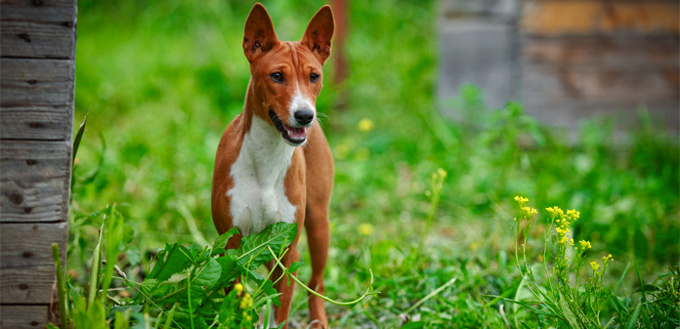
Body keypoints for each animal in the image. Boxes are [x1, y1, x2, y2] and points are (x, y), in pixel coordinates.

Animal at [210, 3, 332, 328]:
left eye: (314, 76)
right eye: (276, 76)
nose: (305, 116)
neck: (267, 160)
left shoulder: (287, 250)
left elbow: (282, 310)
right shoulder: (232, 247)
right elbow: (237, 300)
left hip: (318, 224)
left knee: (316, 283)